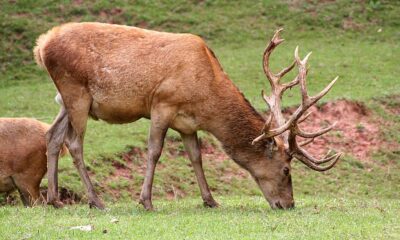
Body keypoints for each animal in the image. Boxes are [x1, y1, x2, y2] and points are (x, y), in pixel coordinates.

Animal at [33, 23, 340, 210]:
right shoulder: (162, 103)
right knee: (74, 143)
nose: (288, 204)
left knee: (52, 135)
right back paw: (95, 200)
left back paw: (54, 200)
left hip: (66, 99)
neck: (206, 98)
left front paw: (210, 200)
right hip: (76, 92)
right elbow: (154, 150)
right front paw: (146, 201)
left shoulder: (187, 123)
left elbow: (195, 156)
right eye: (287, 169)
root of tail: (41, 45)